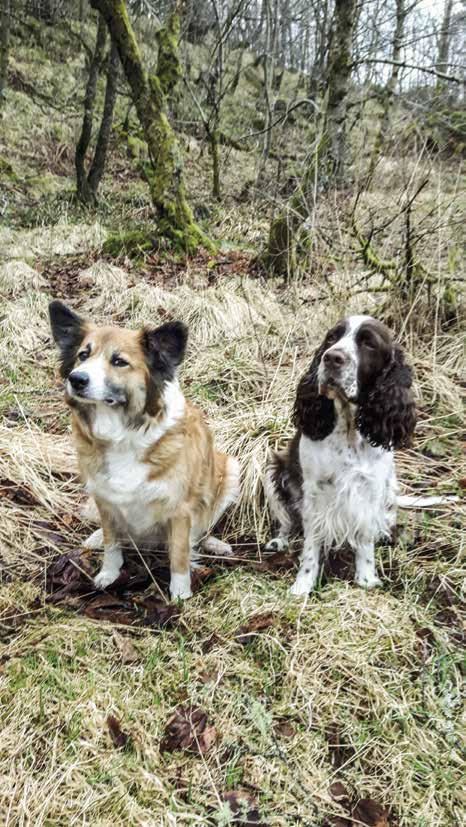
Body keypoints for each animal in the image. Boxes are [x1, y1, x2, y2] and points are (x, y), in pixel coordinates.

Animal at [50, 300, 240, 600]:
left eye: (119, 361)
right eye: (83, 355)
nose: (76, 379)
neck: (123, 434)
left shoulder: (179, 509)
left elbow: (180, 554)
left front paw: (180, 593)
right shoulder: (105, 498)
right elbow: (112, 542)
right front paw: (109, 573)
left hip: (230, 469)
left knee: (202, 529)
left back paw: (214, 544)